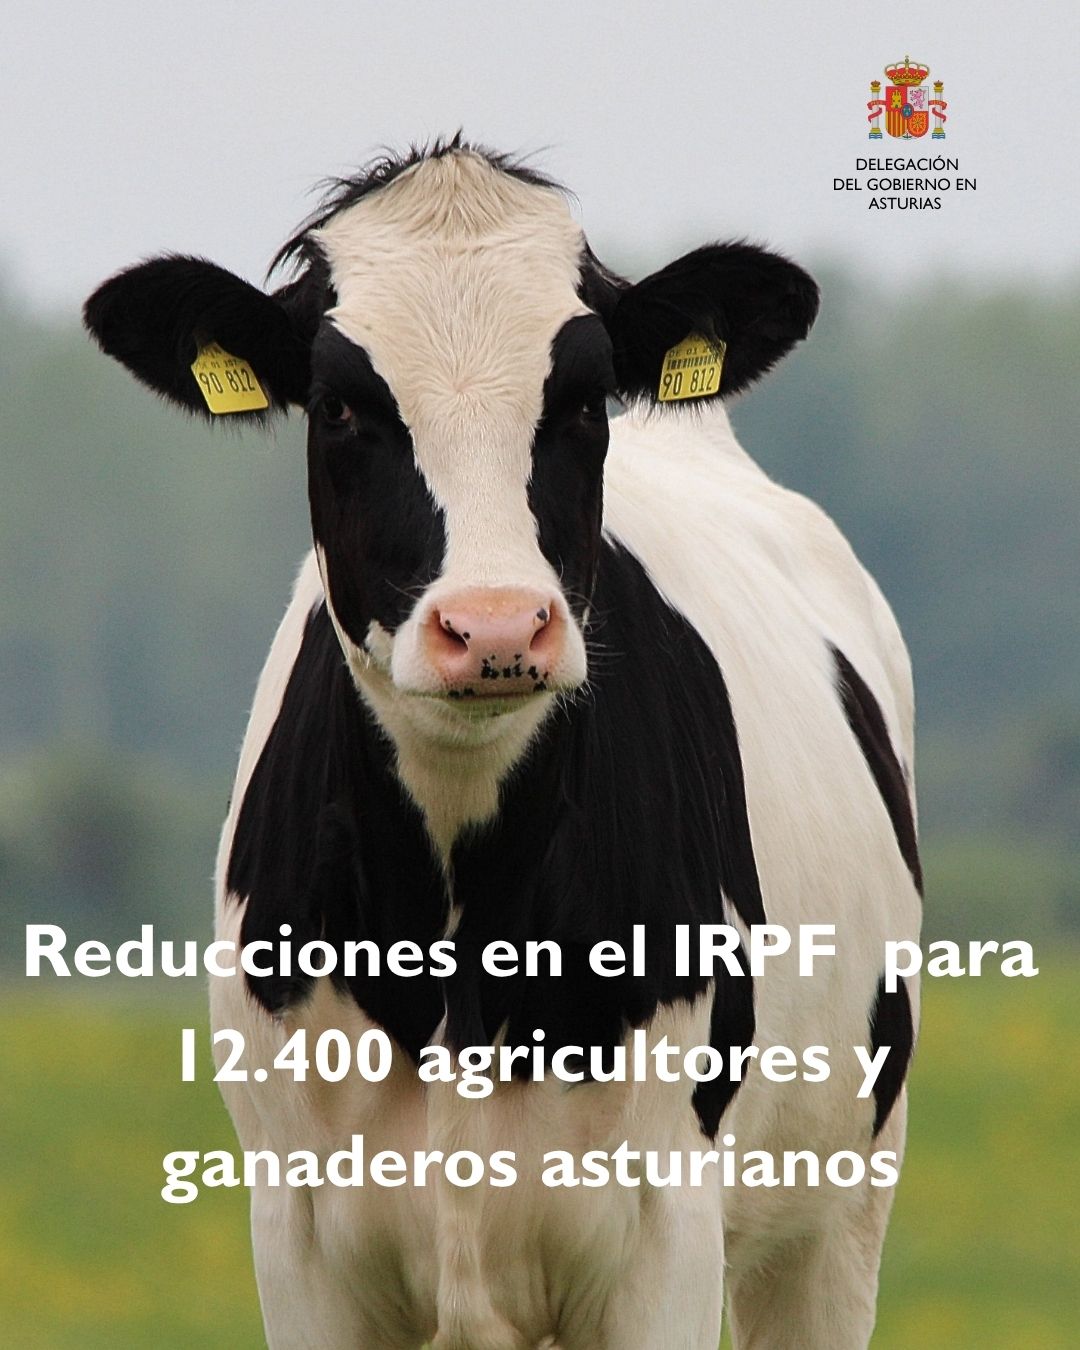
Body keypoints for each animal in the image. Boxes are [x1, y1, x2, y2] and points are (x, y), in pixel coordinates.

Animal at [84, 138, 922, 1350]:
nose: (493, 627)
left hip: (841, 1206)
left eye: (579, 400)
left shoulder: (665, 1228)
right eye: (340, 406)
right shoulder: (298, 1238)